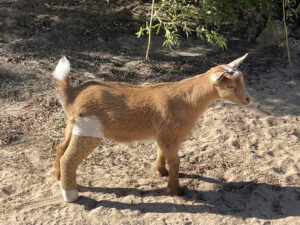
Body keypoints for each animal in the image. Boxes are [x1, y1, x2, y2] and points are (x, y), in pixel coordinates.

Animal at [52, 54, 251, 202]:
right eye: (230, 85)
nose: (248, 100)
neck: (187, 100)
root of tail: (73, 94)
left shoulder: (164, 134)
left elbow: (161, 152)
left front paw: (161, 172)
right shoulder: (170, 134)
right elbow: (175, 162)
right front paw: (176, 190)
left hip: (73, 125)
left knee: (60, 147)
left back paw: (58, 177)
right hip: (89, 128)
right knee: (69, 159)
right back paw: (71, 195)